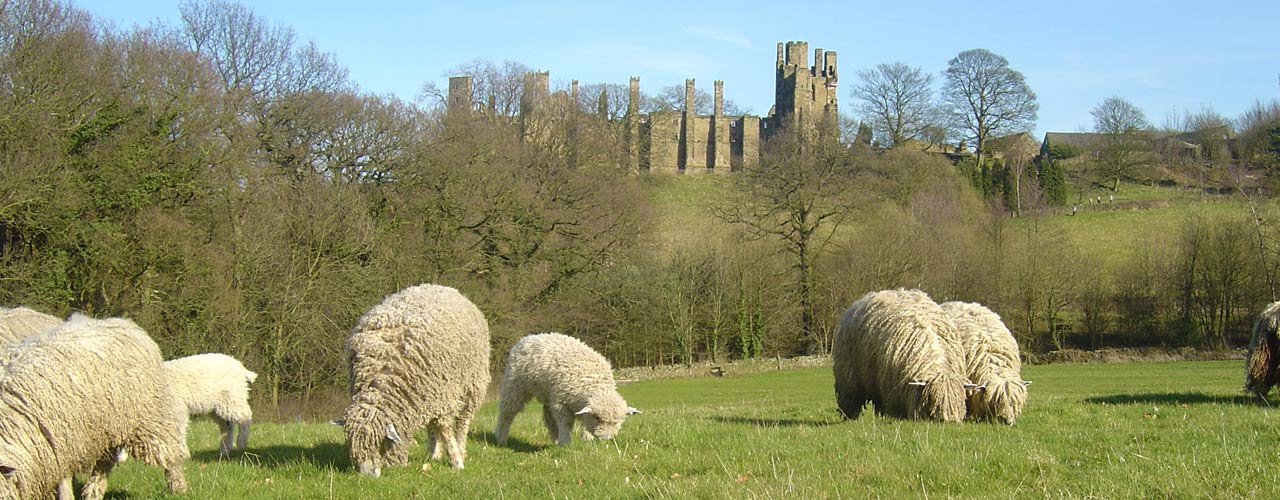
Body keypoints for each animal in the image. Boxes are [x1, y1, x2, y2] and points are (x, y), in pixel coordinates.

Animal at [0, 315, 186, 498]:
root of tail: (124, 323)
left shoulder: (63, 441)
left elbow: (63, 480)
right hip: (107, 429)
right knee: (105, 463)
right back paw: (93, 491)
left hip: (149, 418)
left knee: (168, 452)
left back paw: (178, 487)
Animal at [340, 286, 488, 478]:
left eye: (380, 443)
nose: (368, 477)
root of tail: (439, 286)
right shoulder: (427, 394)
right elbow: (437, 427)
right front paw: (438, 454)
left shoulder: (444, 394)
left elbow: (446, 429)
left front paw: (457, 462)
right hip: (429, 396)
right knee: (432, 426)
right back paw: (433, 454)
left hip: (472, 384)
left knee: (463, 421)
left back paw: (461, 448)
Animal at [491, 332, 637, 447]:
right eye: (597, 417)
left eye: (616, 422)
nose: (605, 438)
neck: (593, 382)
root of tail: (528, 338)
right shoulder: (561, 402)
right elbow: (565, 422)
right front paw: (565, 442)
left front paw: (586, 438)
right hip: (514, 385)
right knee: (506, 412)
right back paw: (501, 438)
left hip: (548, 394)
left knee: (549, 417)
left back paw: (555, 438)